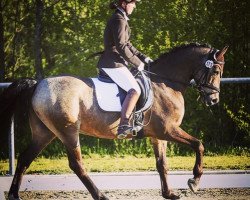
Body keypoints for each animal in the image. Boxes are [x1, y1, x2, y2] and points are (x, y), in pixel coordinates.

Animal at [0, 43, 228, 199]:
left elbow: (162, 164)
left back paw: (14, 195)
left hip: (44, 133)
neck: (165, 82)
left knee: (25, 159)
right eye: (216, 71)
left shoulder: (158, 136)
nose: (214, 100)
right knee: (76, 164)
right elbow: (199, 144)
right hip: (67, 132)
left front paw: (169, 193)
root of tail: (37, 85)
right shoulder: (168, 130)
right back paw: (100, 195)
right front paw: (194, 181)